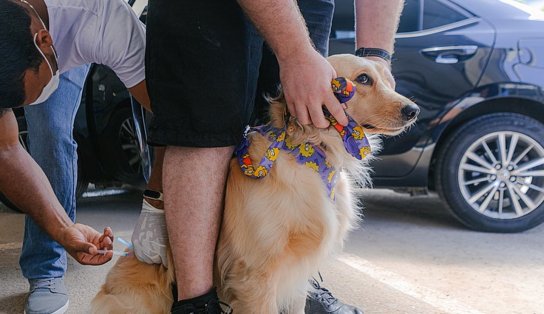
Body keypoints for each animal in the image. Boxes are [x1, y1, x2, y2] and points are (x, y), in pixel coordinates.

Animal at [91, 54, 418, 314]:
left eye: (388, 80)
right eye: (363, 79)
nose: (413, 110)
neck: (308, 154)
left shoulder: (296, 276)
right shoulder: (255, 275)